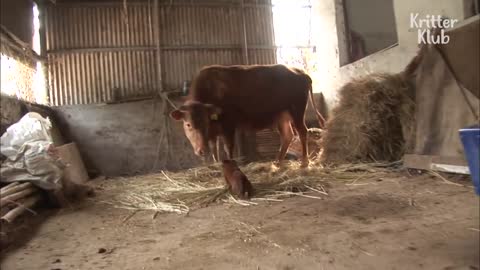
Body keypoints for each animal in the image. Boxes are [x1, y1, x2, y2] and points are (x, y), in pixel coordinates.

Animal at [170, 65, 326, 167]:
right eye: (188, 124)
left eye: (205, 123)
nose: (202, 150)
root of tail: (300, 72)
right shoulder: (215, 131)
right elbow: (215, 148)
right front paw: (216, 165)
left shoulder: (228, 125)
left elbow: (228, 147)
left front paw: (231, 165)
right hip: (282, 116)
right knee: (288, 135)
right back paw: (277, 162)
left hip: (297, 111)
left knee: (302, 132)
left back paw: (304, 162)